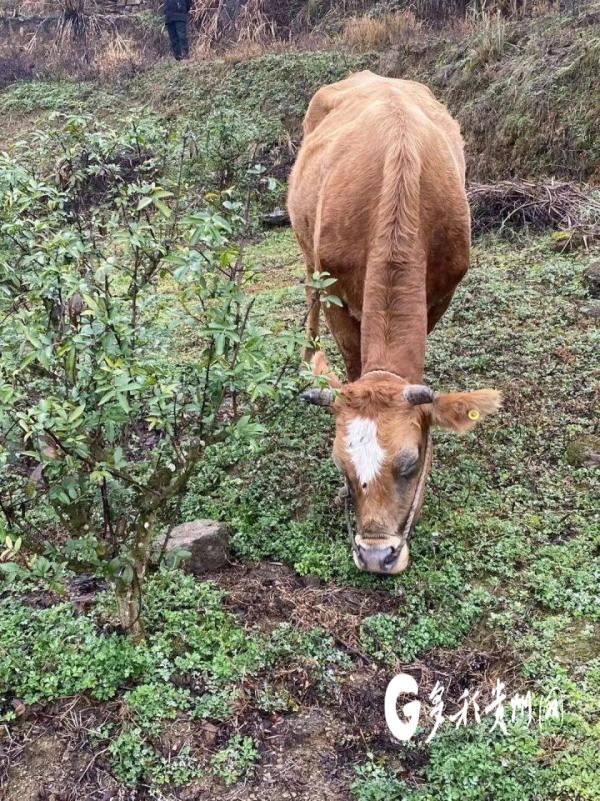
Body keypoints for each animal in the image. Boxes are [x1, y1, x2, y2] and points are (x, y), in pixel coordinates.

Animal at [288, 72, 500, 572]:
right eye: (341, 466)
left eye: (410, 462)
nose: (375, 555)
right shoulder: (336, 294)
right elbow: (351, 363)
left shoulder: (440, 292)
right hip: (307, 251)